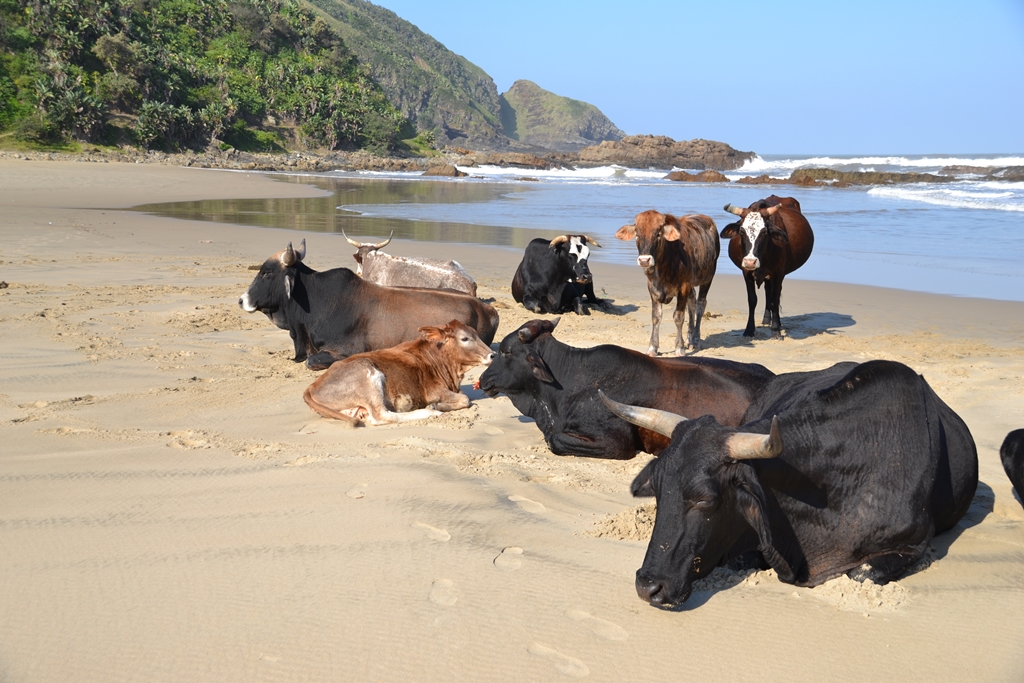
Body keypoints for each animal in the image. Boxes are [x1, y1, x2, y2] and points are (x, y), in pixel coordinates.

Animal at [302, 320, 495, 425]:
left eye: (477, 334)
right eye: (465, 338)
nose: (492, 355)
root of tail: (311, 386)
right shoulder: (435, 391)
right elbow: (466, 399)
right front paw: (435, 406)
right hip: (367, 373)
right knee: (381, 416)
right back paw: (427, 412)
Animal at [616, 211, 719, 355]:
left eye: (658, 234)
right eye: (637, 234)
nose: (644, 260)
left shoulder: (683, 287)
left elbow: (678, 317)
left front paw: (679, 348)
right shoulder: (653, 288)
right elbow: (656, 316)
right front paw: (652, 347)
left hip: (708, 277)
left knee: (700, 305)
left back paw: (696, 340)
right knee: (692, 302)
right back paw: (690, 338)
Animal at [721, 195, 814, 338]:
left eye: (764, 231)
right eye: (742, 231)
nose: (750, 262)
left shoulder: (779, 273)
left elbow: (774, 301)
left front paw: (776, 330)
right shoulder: (746, 273)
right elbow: (752, 300)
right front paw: (749, 329)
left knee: (775, 294)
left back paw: (777, 322)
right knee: (767, 290)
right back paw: (766, 319)